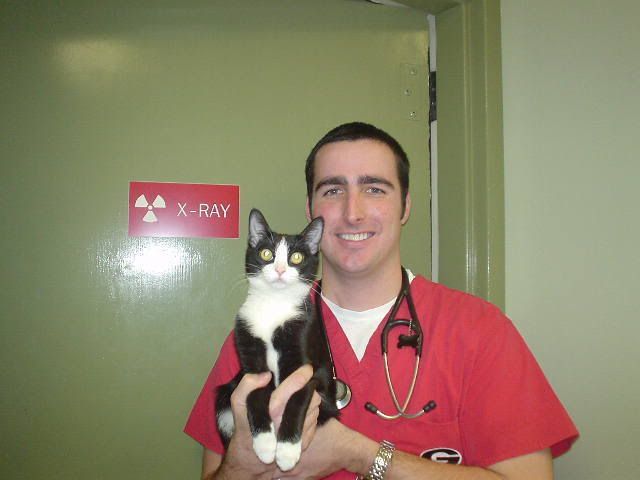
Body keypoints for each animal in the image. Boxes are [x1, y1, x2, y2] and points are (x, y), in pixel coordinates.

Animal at [216, 209, 340, 472]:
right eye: (266, 253)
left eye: (296, 257)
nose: (281, 269)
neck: (273, 304)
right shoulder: (248, 347)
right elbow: (255, 393)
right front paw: (264, 443)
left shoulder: (304, 358)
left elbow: (297, 397)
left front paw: (286, 451)